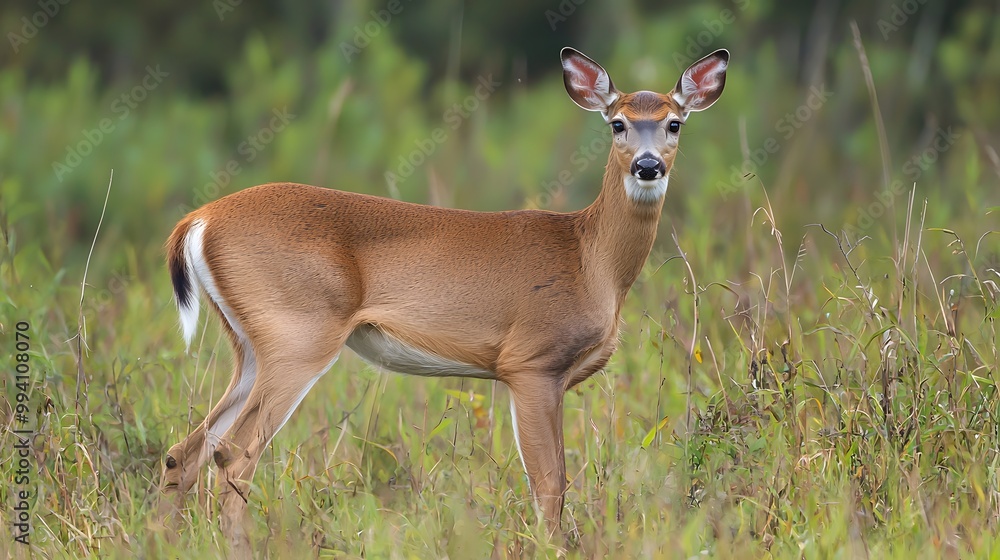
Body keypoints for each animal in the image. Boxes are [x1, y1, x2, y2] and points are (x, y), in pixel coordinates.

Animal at [160, 47, 728, 556]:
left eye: (674, 123)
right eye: (617, 124)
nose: (648, 166)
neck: (591, 259)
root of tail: (199, 220)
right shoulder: (531, 362)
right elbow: (550, 484)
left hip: (251, 345)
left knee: (184, 453)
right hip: (299, 334)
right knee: (232, 455)